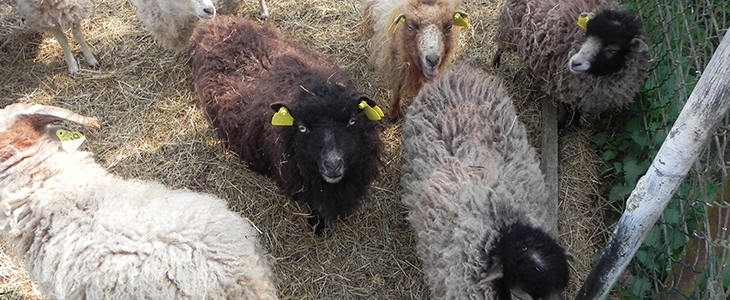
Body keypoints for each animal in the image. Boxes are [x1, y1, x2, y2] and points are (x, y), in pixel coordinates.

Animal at [492, 0, 644, 118]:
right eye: (587, 34)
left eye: (612, 50)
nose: (574, 62)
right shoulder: (561, 84)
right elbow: (565, 108)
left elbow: (577, 108)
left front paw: (575, 121)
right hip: (509, 28)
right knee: (501, 46)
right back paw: (495, 62)